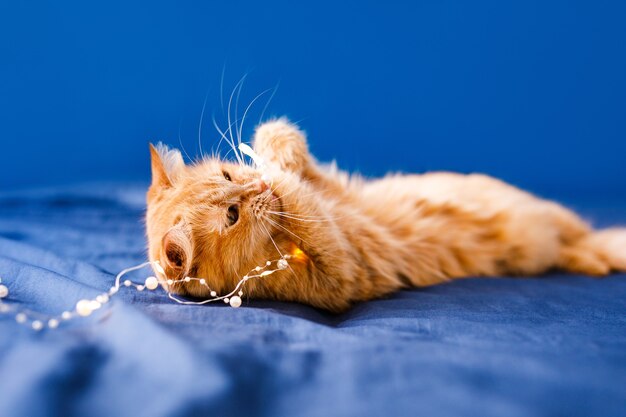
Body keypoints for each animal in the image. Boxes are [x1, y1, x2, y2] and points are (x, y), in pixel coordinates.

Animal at [145, 118, 624, 310]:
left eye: (228, 173)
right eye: (232, 214)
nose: (256, 188)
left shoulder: (334, 190)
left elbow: (299, 166)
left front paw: (272, 152)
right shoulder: (338, 273)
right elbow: (303, 200)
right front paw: (275, 172)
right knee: (587, 243)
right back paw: (600, 256)